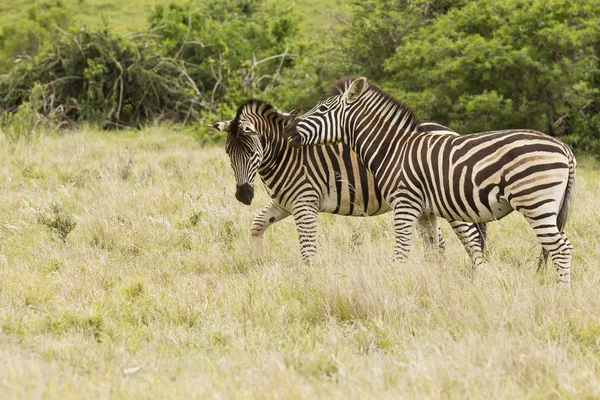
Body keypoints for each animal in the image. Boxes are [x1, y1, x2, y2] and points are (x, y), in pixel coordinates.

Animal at [213, 98, 486, 264]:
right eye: (228, 153)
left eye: (251, 152)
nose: (243, 196)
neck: (285, 156)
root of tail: (449, 131)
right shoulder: (284, 203)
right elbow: (258, 224)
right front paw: (259, 263)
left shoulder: (304, 202)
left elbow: (308, 249)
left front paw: (310, 281)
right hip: (424, 203)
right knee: (439, 244)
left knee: (472, 239)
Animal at [286, 77, 576, 284]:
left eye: (322, 108)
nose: (289, 131)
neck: (393, 148)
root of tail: (564, 148)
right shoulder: (426, 211)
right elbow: (433, 251)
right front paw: (430, 285)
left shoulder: (405, 204)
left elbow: (401, 252)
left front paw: (397, 285)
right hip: (547, 206)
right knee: (559, 245)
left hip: (535, 202)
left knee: (561, 248)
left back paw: (561, 294)